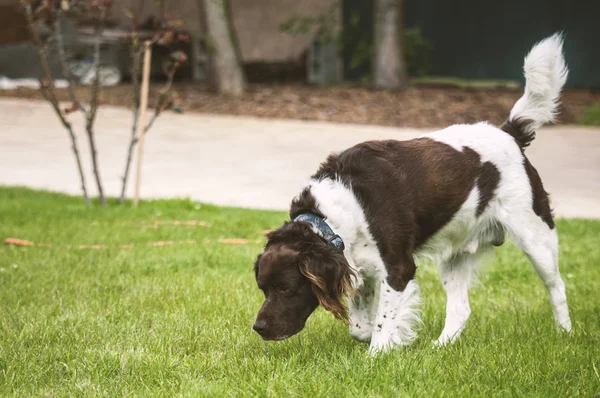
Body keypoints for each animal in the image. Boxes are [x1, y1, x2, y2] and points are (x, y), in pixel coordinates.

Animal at [252, 32, 572, 352]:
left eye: (286, 289)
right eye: (263, 288)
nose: (258, 328)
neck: (337, 212)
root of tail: (509, 133)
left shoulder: (398, 268)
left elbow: (382, 325)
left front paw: (379, 352)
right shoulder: (359, 265)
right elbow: (360, 326)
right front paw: (388, 338)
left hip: (535, 235)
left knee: (556, 286)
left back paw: (565, 333)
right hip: (457, 251)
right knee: (460, 308)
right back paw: (440, 347)